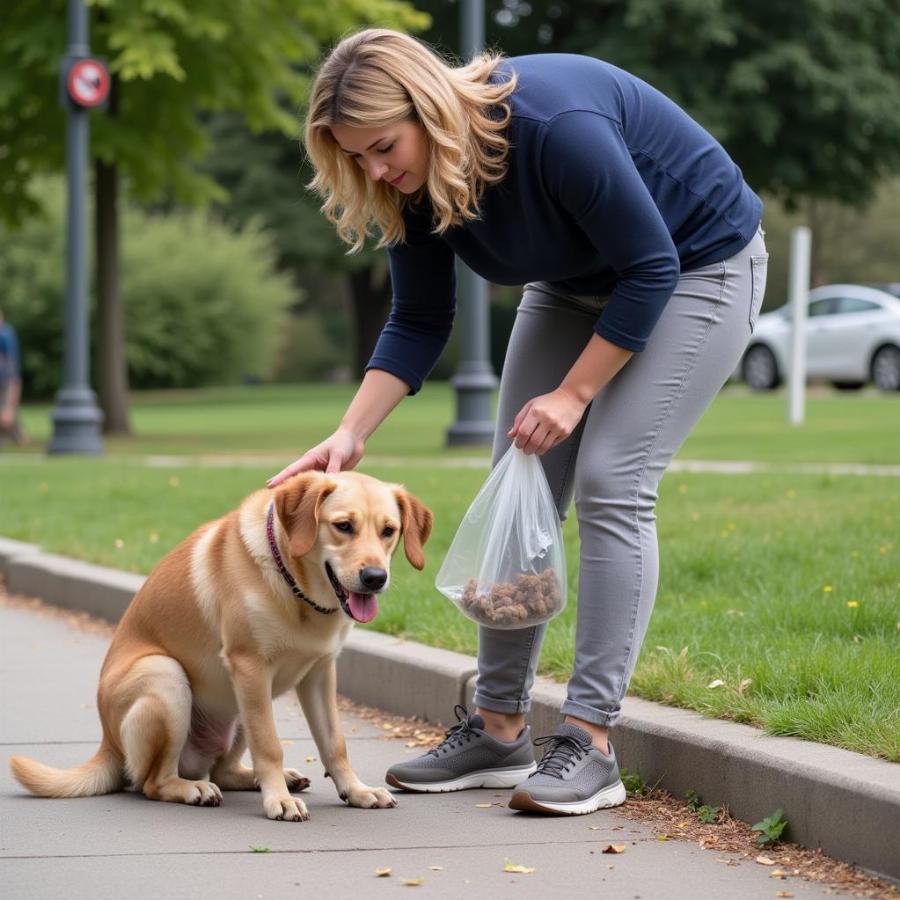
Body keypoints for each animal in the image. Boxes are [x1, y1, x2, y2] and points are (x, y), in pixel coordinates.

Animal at [8, 472, 432, 824]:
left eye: (389, 531)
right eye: (343, 526)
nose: (375, 577)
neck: (295, 588)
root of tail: (107, 744)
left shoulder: (319, 674)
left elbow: (335, 744)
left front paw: (356, 791)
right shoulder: (250, 667)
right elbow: (269, 747)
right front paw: (278, 800)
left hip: (240, 705)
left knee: (224, 772)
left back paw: (266, 779)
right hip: (167, 677)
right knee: (153, 783)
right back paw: (194, 788)